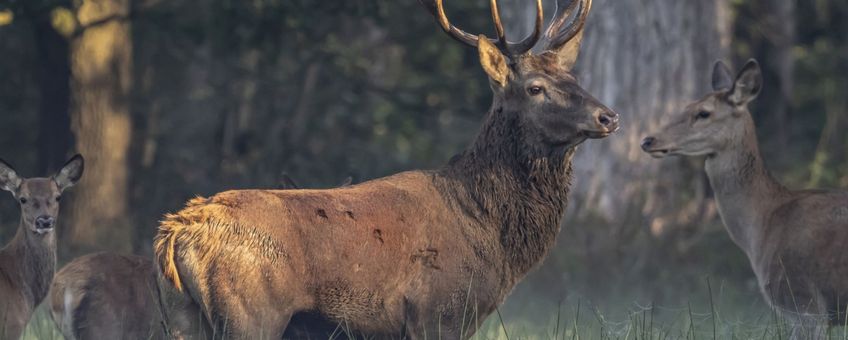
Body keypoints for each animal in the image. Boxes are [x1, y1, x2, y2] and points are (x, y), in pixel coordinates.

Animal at [154, 0, 616, 338]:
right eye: (535, 88)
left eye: (574, 78)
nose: (608, 116)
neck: (489, 230)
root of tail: (176, 232)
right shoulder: (437, 313)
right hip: (251, 313)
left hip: (182, 317)